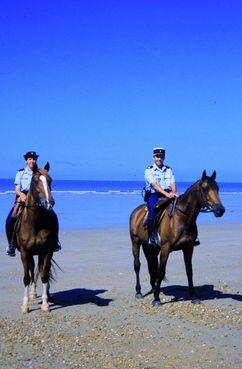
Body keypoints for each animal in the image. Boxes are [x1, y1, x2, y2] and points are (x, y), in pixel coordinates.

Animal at [11, 162, 59, 312]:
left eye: (50, 181)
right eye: (35, 181)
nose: (50, 202)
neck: (35, 222)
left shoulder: (47, 251)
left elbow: (44, 275)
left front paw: (45, 303)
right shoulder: (25, 252)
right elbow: (26, 277)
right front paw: (25, 305)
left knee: (43, 269)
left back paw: (46, 294)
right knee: (32, 269)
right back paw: (32, 293)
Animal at [130, 170, 226, 304]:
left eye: (217, 188)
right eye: (205, 188)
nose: (220, 210)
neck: (181, 218)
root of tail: (136, 211)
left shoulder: (188, 247)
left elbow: (189, 271)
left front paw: (193, 296)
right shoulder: (165, 248)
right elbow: (161, 270)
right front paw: (156, 299)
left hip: (150, 247)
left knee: (151, 266)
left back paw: (154, 288)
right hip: (136, 242)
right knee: (137, 265)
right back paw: (139, 292)